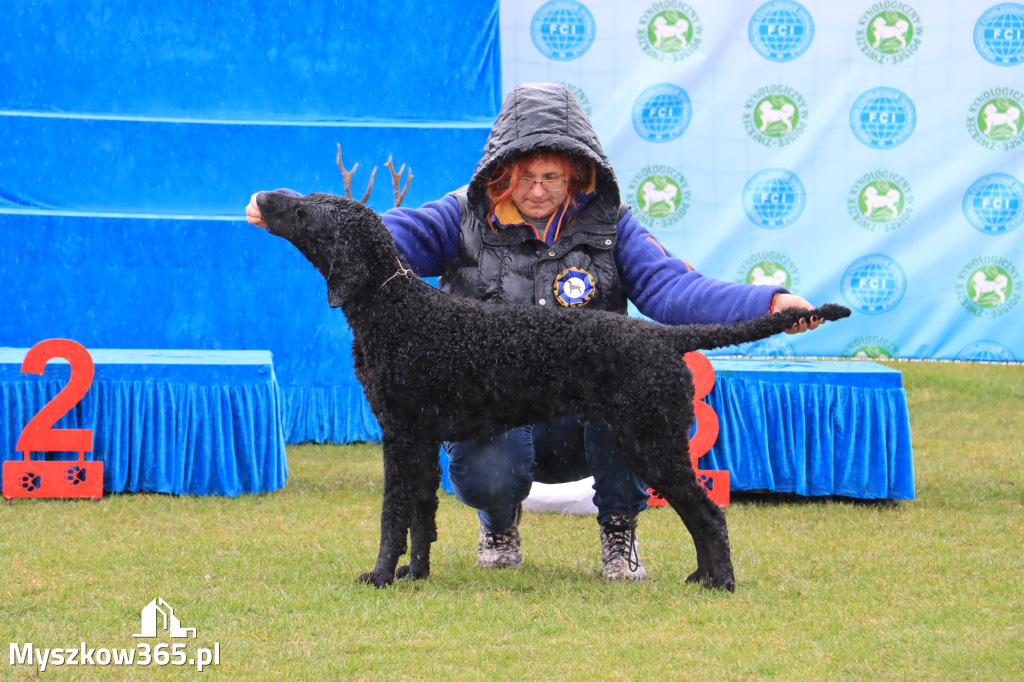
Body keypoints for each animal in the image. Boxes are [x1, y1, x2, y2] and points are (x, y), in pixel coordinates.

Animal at [258, 191, 856, 589]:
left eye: (306, 210)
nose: (264, 197)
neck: (395, 308)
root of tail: (666, 336)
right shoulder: (420, 442)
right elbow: (423, 516)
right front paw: (415, 574)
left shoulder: (399, 436)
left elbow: (393, 517)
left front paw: (381, 575)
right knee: (698, 514)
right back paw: (700, 577)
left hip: (652, 440)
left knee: (709, 513)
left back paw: (720, 584)